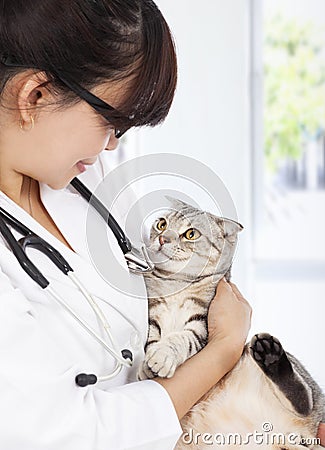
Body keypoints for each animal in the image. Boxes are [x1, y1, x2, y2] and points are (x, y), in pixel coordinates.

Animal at [137, 198, 324, 450]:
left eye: (190, 234)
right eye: (161, 224)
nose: (162, 238)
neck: (175, 284)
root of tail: (287, 436)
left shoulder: (202, 325)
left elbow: (181, 339)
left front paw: (163, 355)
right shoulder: (152, 314)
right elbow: (152, 338)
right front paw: (148, 366)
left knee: (305, 401)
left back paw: (271, 356)